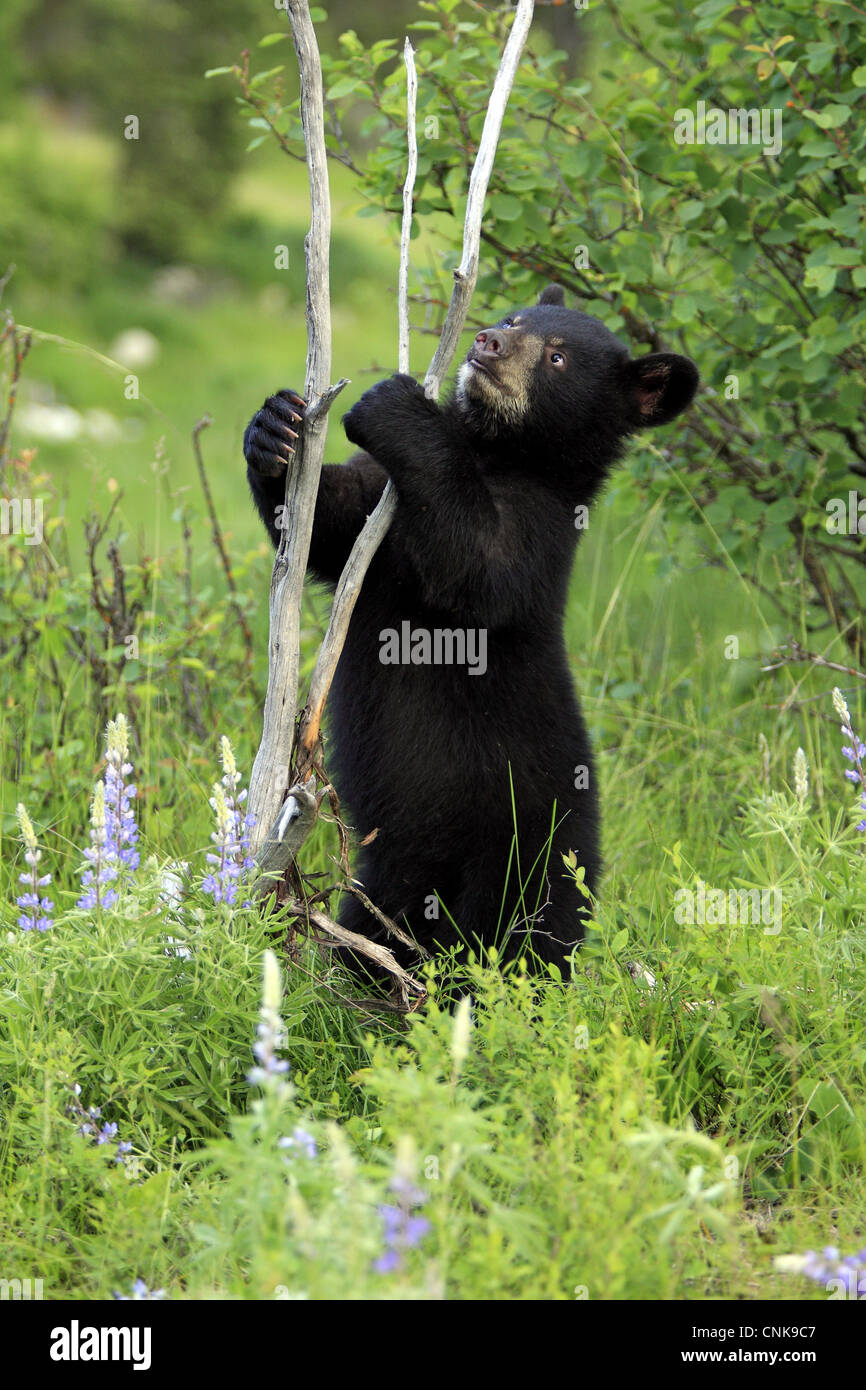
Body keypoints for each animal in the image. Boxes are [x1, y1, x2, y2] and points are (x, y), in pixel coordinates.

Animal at [243, 285, 698, 978]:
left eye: (557, 357)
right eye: (516, 318)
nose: (488, 341)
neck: (496, 451)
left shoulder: (537, 532)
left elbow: (476, 564)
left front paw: (395, 406)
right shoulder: (383, 514)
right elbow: (333, 524)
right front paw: (276, 429)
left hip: (526, 853)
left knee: (526, 941)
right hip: (391, 876)